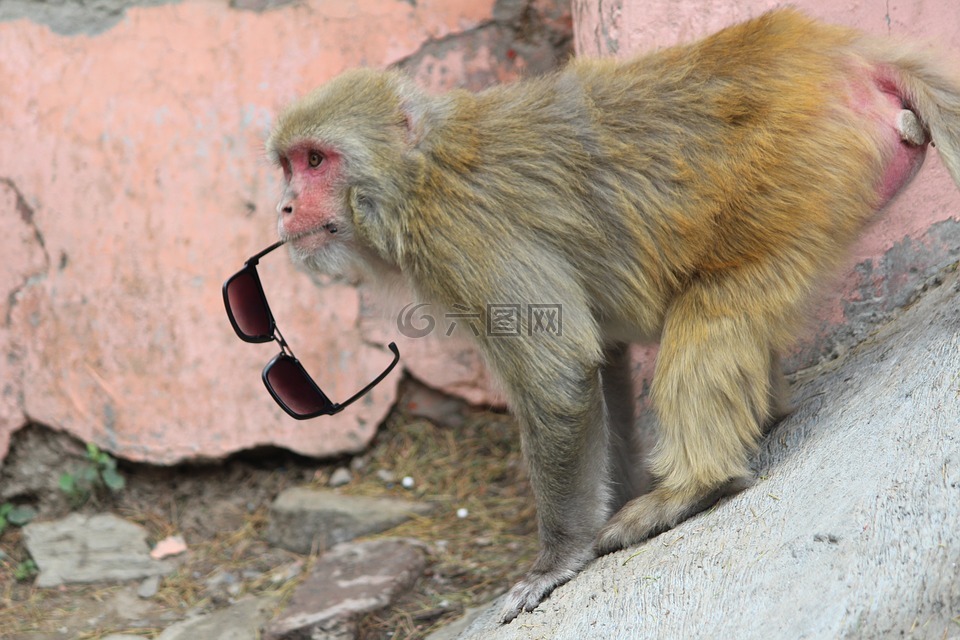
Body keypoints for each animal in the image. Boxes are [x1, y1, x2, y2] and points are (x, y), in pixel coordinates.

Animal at [262, 7, 960, 624]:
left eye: (316, 160)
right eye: (289, 165)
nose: (286, 208)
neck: (414, 173)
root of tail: (834, 49)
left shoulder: (459, 237)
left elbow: (558, 373)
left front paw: (556, 560)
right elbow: (605, 357)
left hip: (797, 170)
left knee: (714, 305)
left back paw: (693, 485)